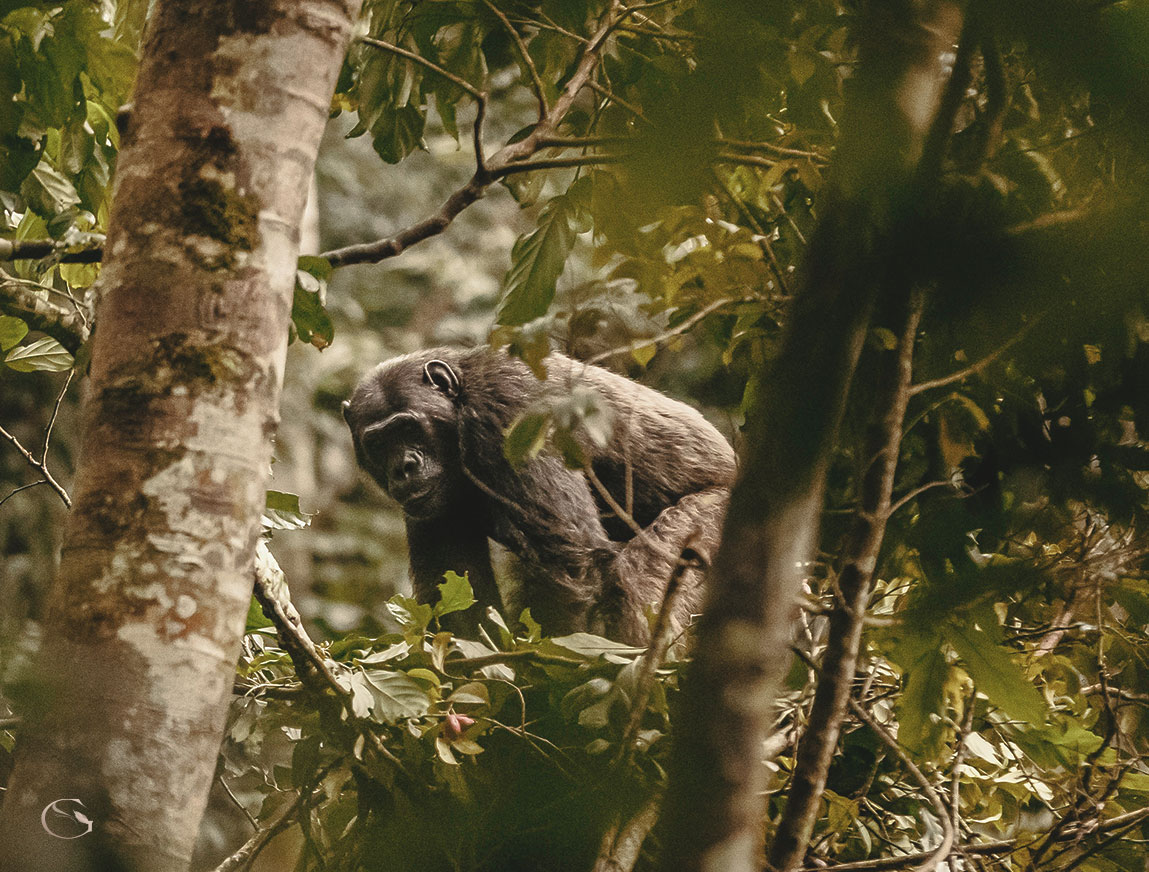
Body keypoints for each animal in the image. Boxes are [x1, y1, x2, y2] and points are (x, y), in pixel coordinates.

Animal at [342, 346, 735, 643]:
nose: (404, 466)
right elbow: (458, 592)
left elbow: (569, 562)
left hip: (714, 518)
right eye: (379, 443)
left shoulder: (509, 411)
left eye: (407, 428)